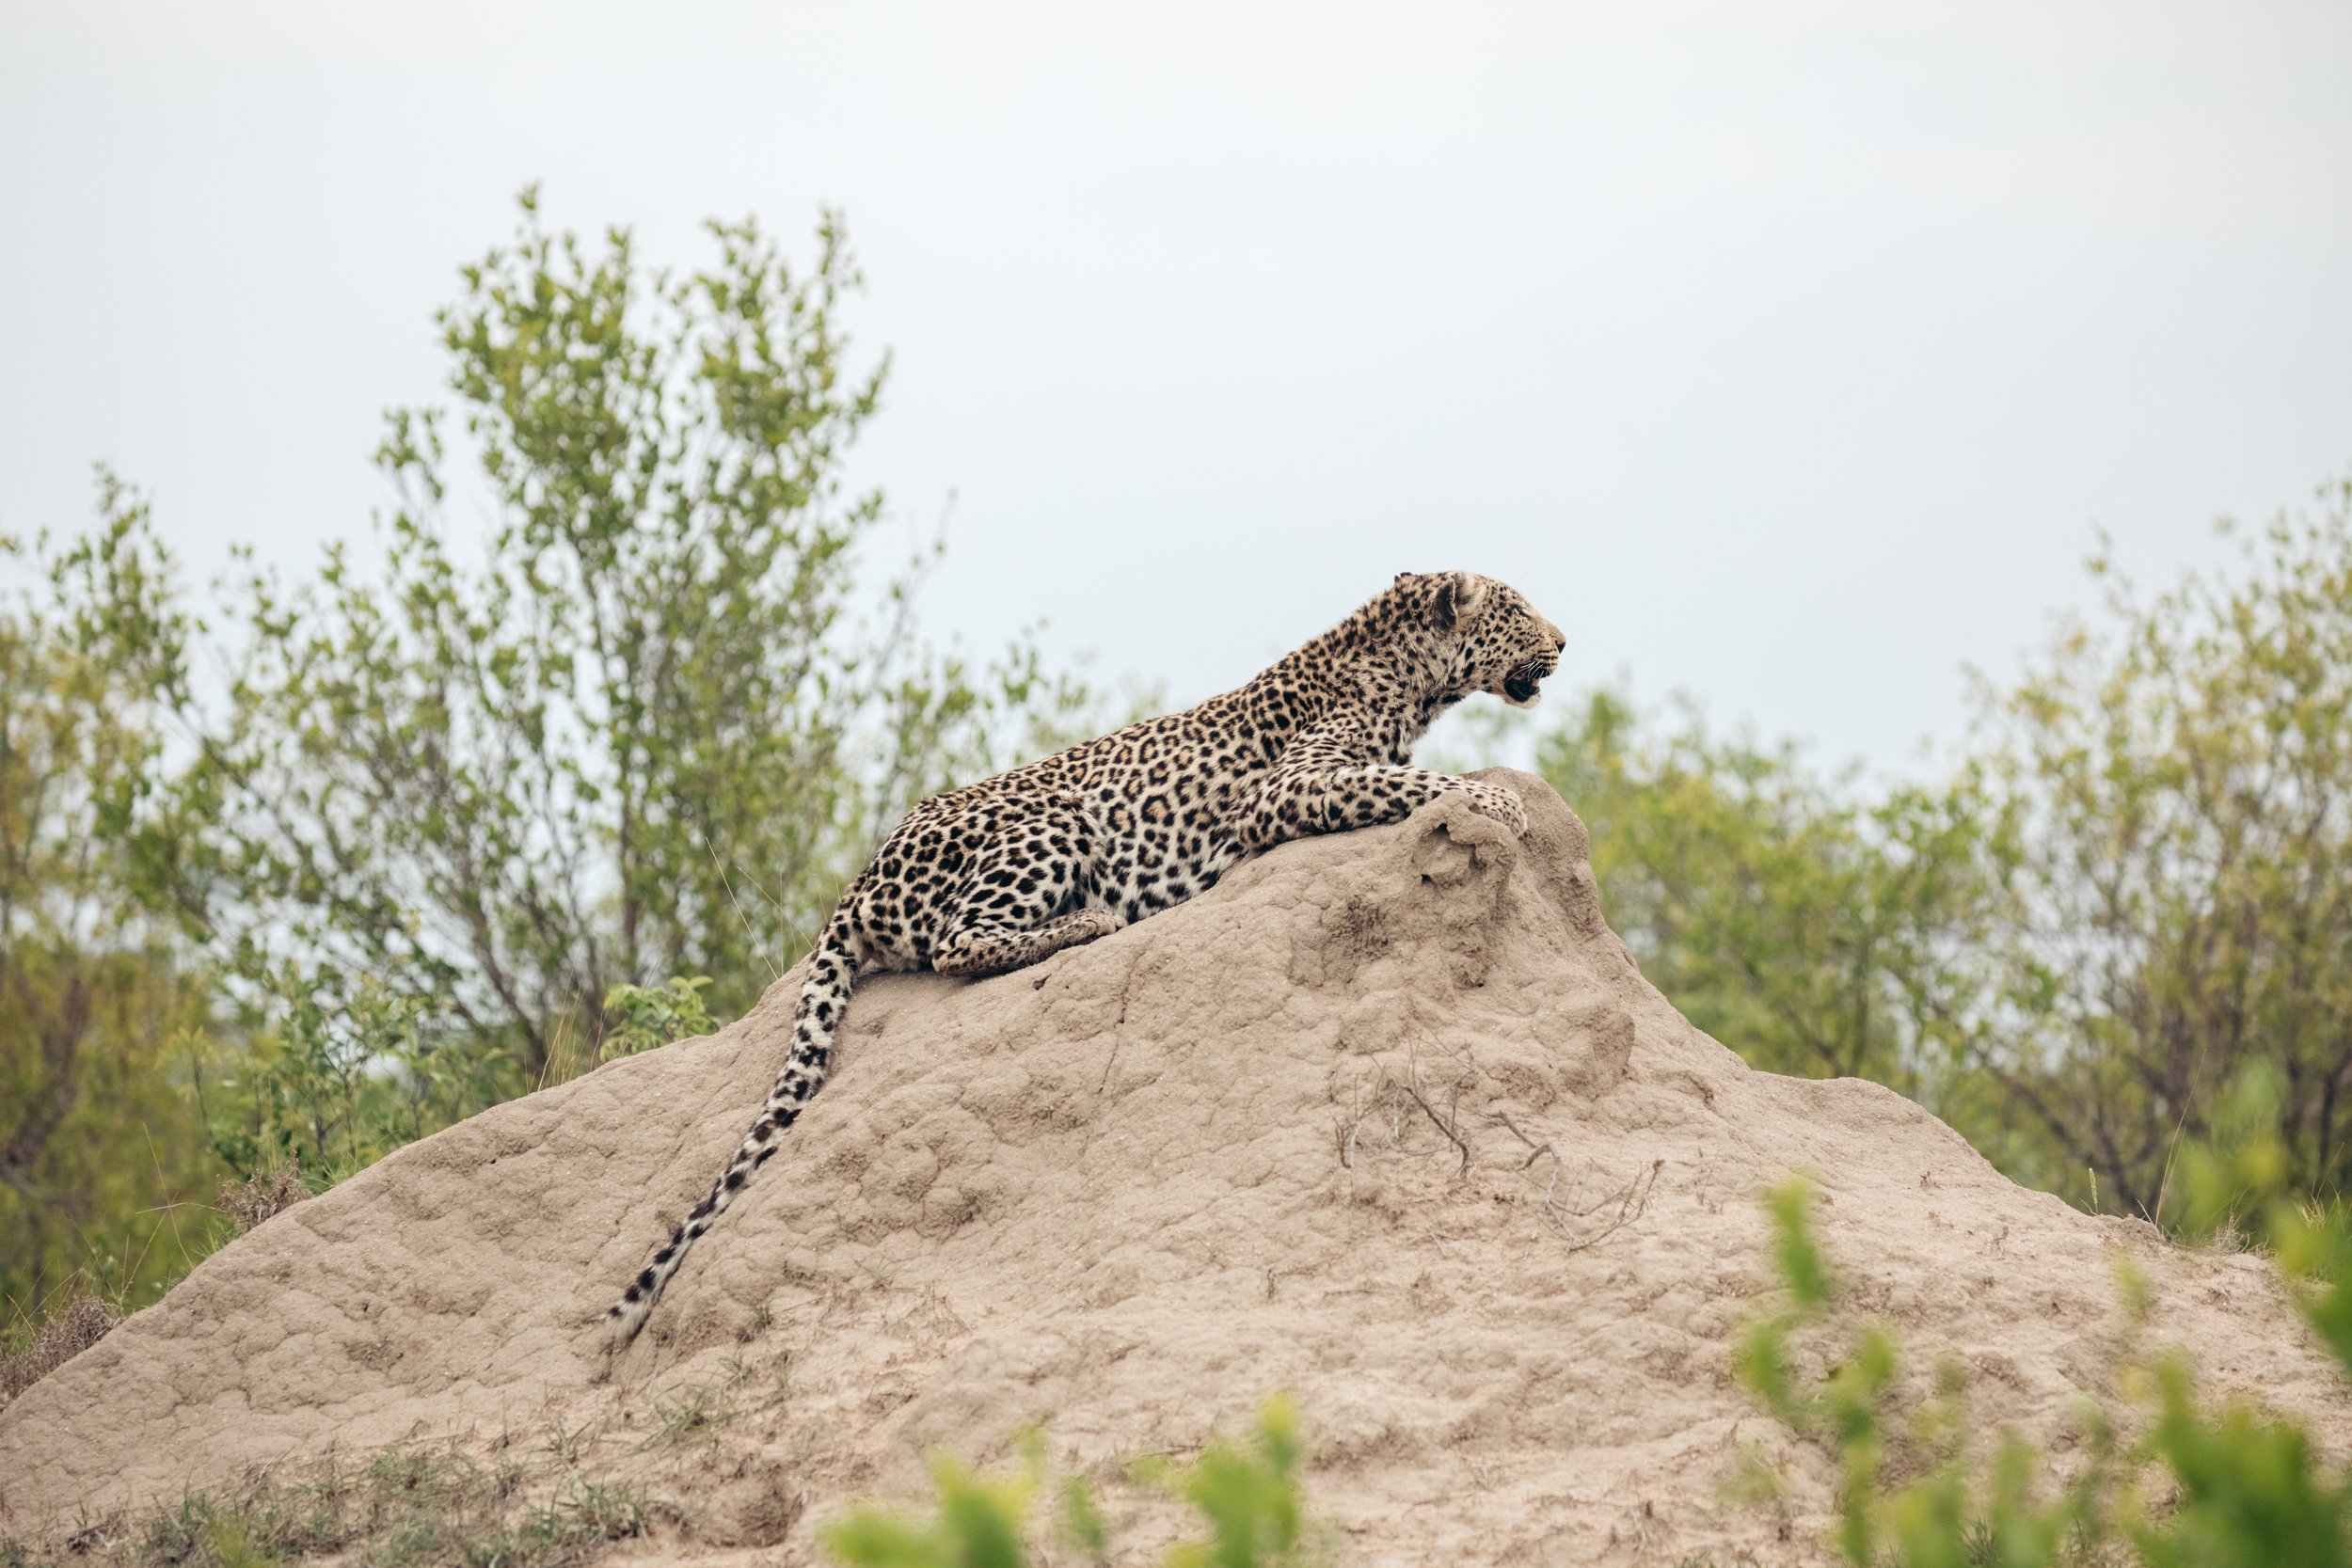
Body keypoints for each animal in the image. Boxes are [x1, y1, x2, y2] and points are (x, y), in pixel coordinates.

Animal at [602, 571, 1562, 1344]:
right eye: (1517, 609)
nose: (1563, 642)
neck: (1406, 677)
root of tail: (856, 882)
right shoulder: (1283, 790)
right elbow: (1413, 782)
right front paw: (1497, 803)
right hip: (1053, 820)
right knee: (958, 945)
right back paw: (1093, 920)